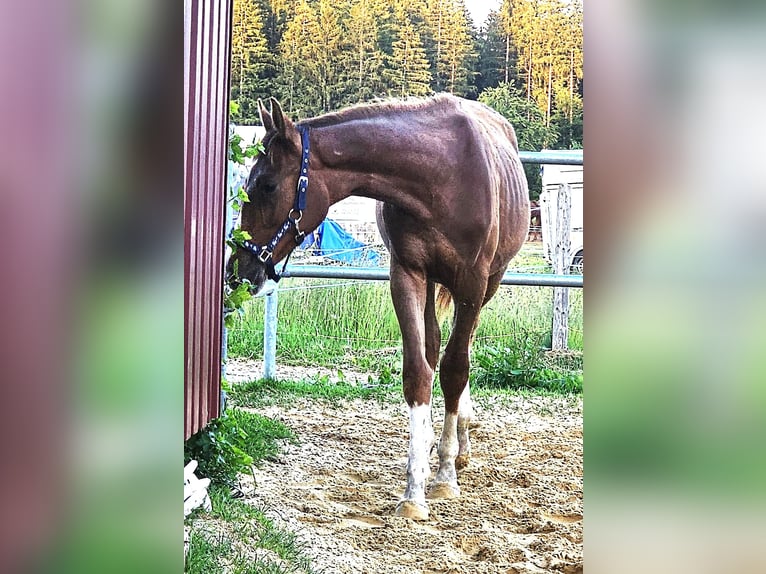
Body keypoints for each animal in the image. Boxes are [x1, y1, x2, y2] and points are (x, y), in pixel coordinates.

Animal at [226, 94, 529, 520]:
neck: (441, 176)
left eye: (267, 185)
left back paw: (459, 444)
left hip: (490, 283)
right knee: (434, 345)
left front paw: (444, 476)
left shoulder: (472, 283)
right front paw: (415, 488)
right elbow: (418, 372)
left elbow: (456, 369)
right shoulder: (406, 273)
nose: (238, 270)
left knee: (461, 350)